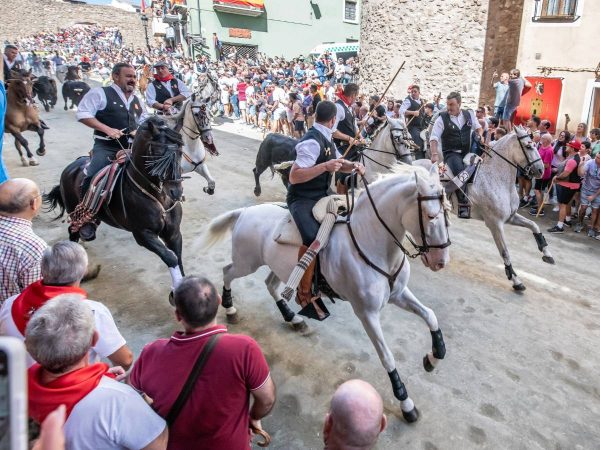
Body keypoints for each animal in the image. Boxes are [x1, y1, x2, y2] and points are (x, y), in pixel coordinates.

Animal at [43, 117, 185, 298]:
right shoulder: (143, 234)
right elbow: (170, 257)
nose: (175, 191)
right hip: (73, 210)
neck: (157, 197)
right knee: (73, 232)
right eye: (158, 154)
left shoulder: (173, 232)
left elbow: (177, 257)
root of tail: (71, 167)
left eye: (180, 152)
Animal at [202, 164, 450, 422]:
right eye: (431, 216)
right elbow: (387, 356)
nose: (441, 261)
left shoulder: (398, 294)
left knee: (270, 285)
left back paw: (294, 319)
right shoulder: (367, 313)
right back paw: (230, 308)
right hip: (246, 262)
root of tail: (244, 212)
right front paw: (406, 402)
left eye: (447, 214)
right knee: (227, 272)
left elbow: (430, 315)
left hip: (280, 267)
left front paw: (434, 356)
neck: (369, 241)